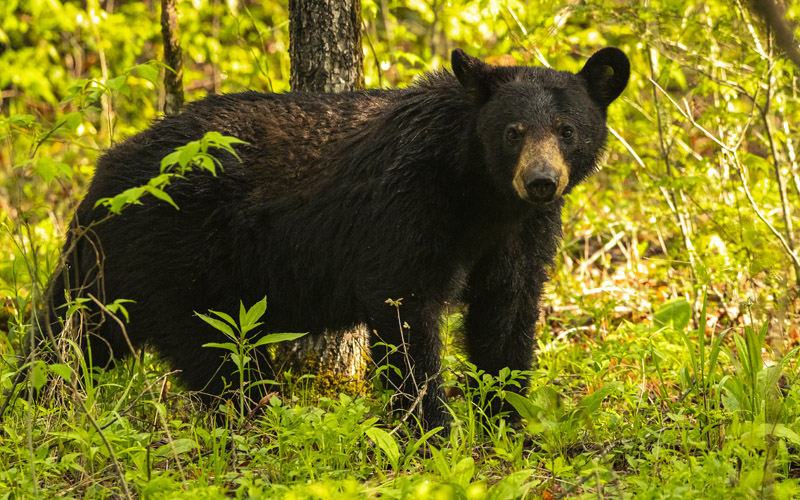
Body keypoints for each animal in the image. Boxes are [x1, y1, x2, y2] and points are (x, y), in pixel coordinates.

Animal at [26, 47, 629, 430]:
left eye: (568, 131)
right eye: (513, 132)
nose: (541, 181)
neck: (480, 194)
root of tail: (105, 174)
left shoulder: (520, 233)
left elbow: (504, 312)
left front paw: (507, 418)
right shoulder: (407, 205)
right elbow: (405, 312)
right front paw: (431, 425)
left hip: (115, 263)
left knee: (74, 328)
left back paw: (37, 393)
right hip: (174, 256)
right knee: (210, 355)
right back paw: (254, 414)